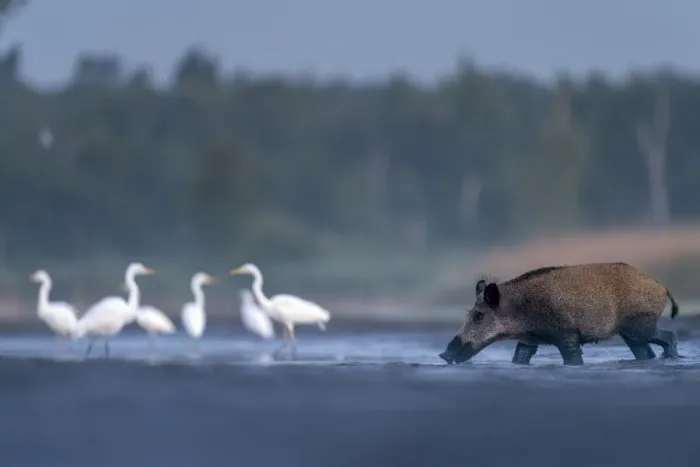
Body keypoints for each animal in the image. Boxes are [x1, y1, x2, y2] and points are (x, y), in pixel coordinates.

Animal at [439, 262, 680, 366]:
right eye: (471, 313)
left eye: (479, 315)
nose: (443, 354)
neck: (520, 309)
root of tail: (662, 286)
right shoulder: (528, 341)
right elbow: (519, 358)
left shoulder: (566, 335)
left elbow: (572, 358)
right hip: (631, 333)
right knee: (645, 352)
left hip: (640, 325)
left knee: (669, 336)